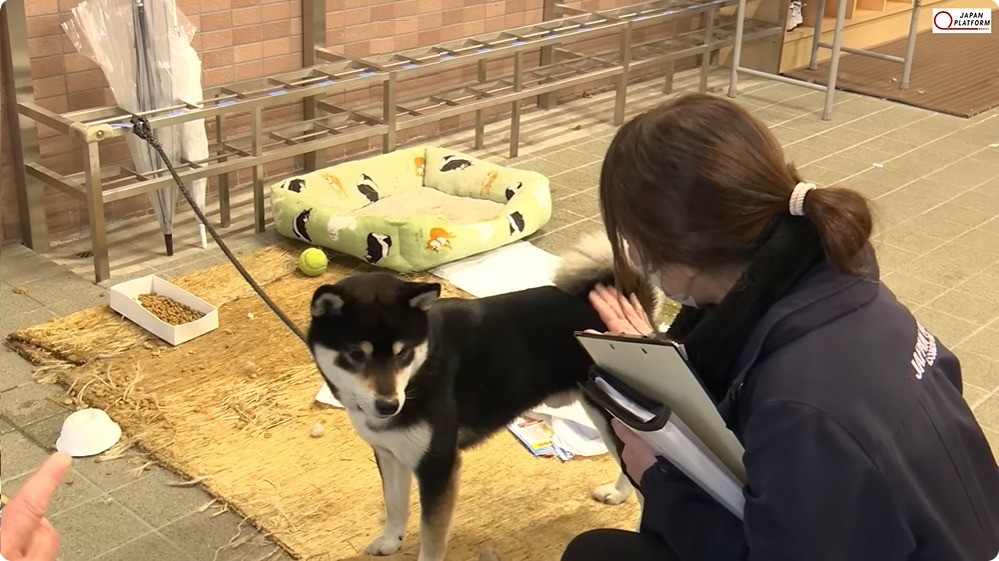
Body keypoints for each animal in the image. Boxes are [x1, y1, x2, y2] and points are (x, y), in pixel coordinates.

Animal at [308, 236, 660, 560]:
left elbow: (430, 536)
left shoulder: (438, 465)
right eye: (356, 354)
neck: (419, 374)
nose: (388, 405)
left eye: (403, 353)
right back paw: (617, 493)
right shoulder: (389, 452)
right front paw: (390, 540)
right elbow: (394, 503)